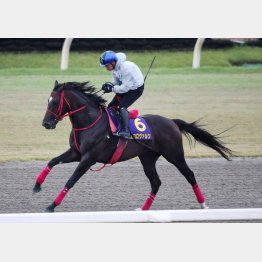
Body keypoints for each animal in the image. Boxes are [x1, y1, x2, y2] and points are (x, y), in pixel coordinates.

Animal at [33, 81, 233, 212]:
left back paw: (203, 204)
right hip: (147, 158)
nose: (46, 123)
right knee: (156, 182)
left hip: (174, 154)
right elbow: (52, 161)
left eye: (54, 102)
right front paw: (37, 185)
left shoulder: (88, 158)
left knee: (189, 175)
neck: (90, 122)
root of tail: (172, 121)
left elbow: (71, 181)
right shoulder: (76, 153)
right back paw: (143, 210)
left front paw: (51, 205)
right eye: (47, 100)